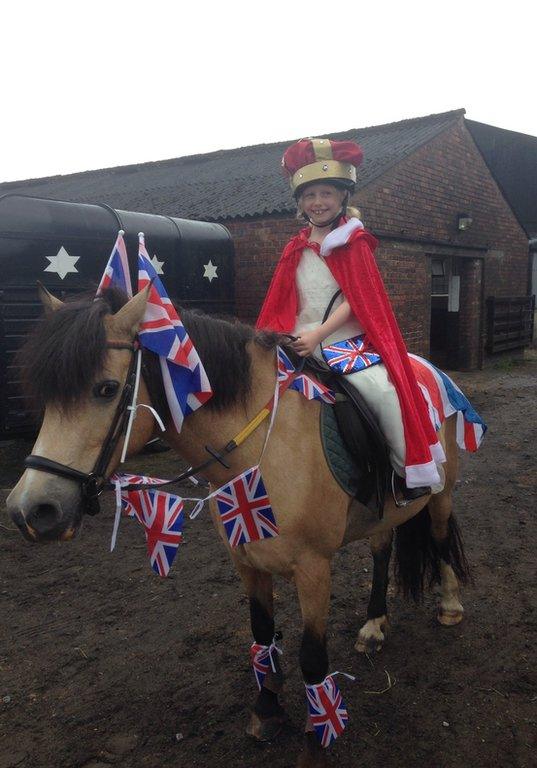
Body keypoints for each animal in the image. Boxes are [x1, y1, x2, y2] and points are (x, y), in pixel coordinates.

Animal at [7, 288, 468, 768]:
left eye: (106, 389)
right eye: (48, 396)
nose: (31, 509)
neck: (263, 445)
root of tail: (428, 367)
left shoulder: (313, 568)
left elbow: (312, 659)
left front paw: (314, 744)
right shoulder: (246, 558)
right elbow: (262, 632)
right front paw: (266, 711)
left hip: (441, 492)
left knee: (440, 536)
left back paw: (450, 605)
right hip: (383, 511)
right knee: (382, 549)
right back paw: (374, 624)